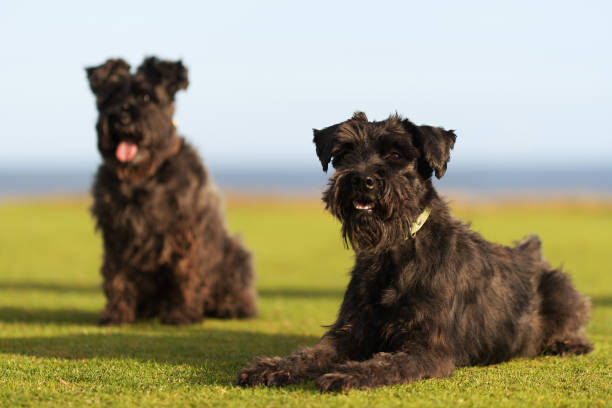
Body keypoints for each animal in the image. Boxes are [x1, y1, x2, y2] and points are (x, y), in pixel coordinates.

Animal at [86, 56, 256, 326]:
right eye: (110, 97)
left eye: (146, 97)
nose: (121, 117)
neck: (143, 177)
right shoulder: (117, 234)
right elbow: (117, 274)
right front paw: (116, 314)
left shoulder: (184, 232)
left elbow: (184, 273)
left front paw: (181, 314)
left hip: (235, 253)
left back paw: (231, 307)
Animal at [235, 111, 592, 392]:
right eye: (345, 152)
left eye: (395, 154)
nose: (361, 180)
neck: (394, 251)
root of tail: (532, 254)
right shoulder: (349, 333)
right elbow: (310, 354)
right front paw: (270, 367)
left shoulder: (428, 348)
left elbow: (385, 363)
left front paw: (347, 374)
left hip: (560, 287)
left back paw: (566, 342)